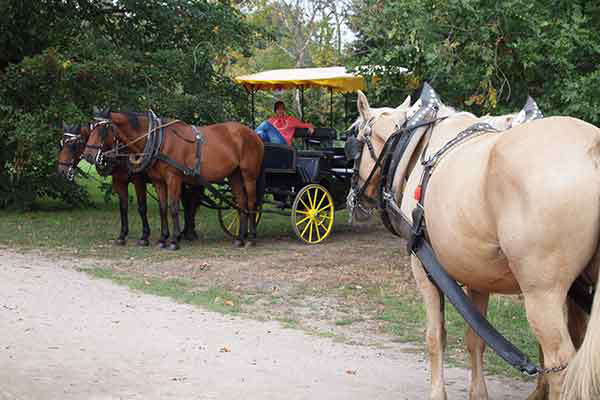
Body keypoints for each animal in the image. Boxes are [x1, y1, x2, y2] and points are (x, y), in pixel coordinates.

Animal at [58, 123, 202, 245]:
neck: (121, 153)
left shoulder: (139, 181)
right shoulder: (119, 182)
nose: (61, 170)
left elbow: (142, 207)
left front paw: (144, 236)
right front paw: (122, 236)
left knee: (192, 203)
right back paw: (187, 231)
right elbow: (123, 208)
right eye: (62, 144)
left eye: (73, 145)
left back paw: (189, 233)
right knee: (189, 203)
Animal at [81, 111, 262, 250]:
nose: (88, 155)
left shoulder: (171, 179)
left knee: (251, 203)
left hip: (249, 175)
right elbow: (161, 208)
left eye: (102, 129)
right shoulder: (157, 181)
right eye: (91, 128)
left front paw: (172, 241)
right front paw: (162, 239)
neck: (157, 140)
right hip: (234, 175)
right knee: (240, 202)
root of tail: (253, 134)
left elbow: (172, 208)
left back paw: (252, 238)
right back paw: (239, 238)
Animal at [346, 88, 600, 400]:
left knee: (561, 364)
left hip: (543, 294)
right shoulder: (479, 275)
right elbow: (475, 338)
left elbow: (435, 336)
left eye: (355, 140)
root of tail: (592, 146)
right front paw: (478, 392)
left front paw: (437, 393)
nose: (353, 198)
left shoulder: (424, 269)